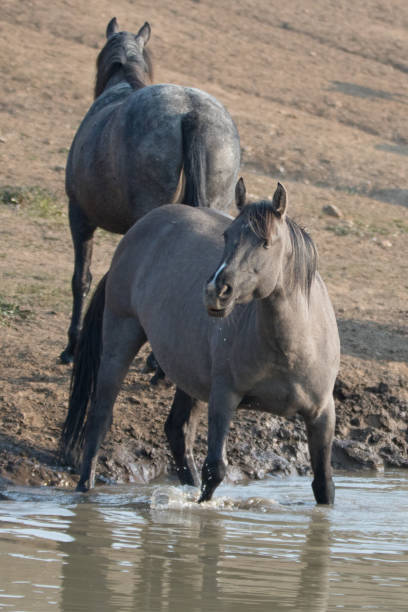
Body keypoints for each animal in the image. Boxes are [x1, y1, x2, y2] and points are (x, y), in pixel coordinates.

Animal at [59, 183, 342, 506]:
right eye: (227, 236)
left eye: (266, 242)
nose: (216, 291)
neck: (292, 349)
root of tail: (138, 231)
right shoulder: (223, 398)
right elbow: (215, 470)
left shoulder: (322, 414)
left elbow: (324, 483)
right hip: (121, 338)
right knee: (99, 419)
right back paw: (84, 489)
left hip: (189, 374)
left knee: (177, 431)